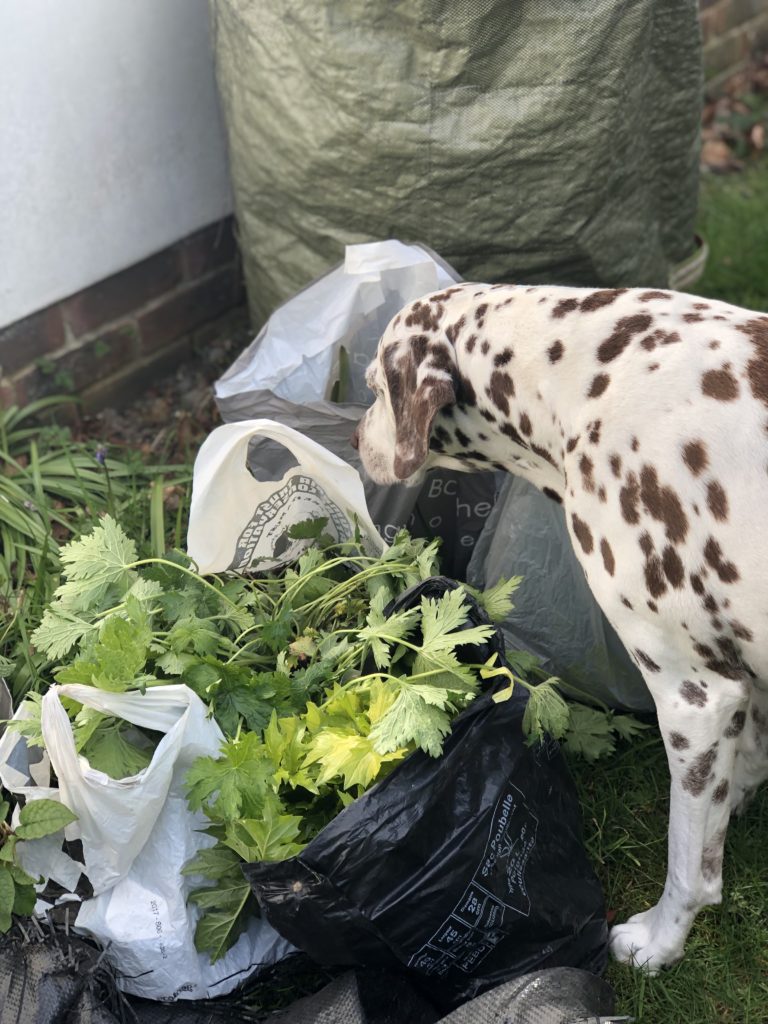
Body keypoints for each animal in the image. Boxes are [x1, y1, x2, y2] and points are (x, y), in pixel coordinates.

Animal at [354, 284, 768, 970]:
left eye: (374, 389)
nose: (356, 436)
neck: (586, 375)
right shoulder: (738, 679)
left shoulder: (694, 696)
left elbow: (690, 864)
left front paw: (661, 939)